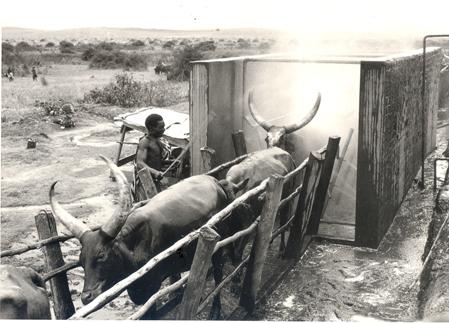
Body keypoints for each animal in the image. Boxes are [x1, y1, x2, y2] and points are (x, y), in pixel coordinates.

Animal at [50, 156, 247, 318]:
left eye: (101, 255)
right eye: (81, 260)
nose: (86, 297)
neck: (133, 246)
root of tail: (216, 182)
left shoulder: (151, 288)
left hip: (218, 246)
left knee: (219, 274)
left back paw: (216, 310)